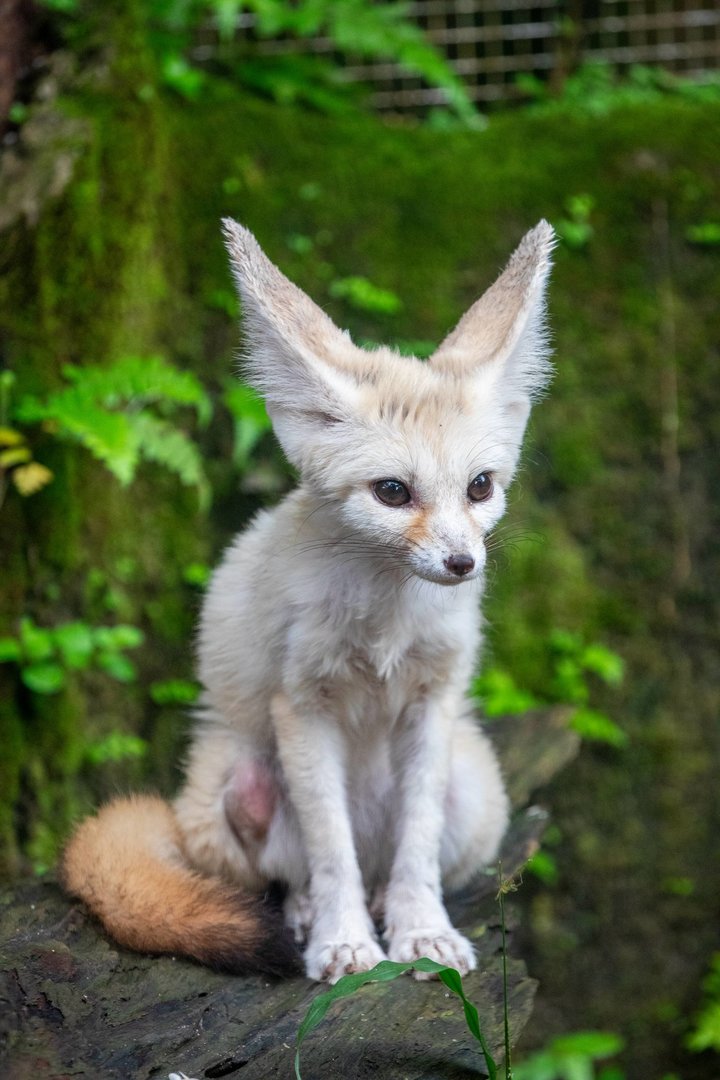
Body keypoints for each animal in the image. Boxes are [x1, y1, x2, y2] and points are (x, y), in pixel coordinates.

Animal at [61, 217, 555, 984]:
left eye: (480, 487)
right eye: (392, 492)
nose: (462, 564)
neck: (386, 621)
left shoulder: (434, 700)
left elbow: (416, 845)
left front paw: (421, 930)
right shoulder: (302, 707)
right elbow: (330, 852)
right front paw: (345, 940)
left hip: (472, 788)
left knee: (389, 858)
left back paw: (384, 902)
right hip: (238, 785)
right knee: (291, 872)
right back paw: (305, 914)